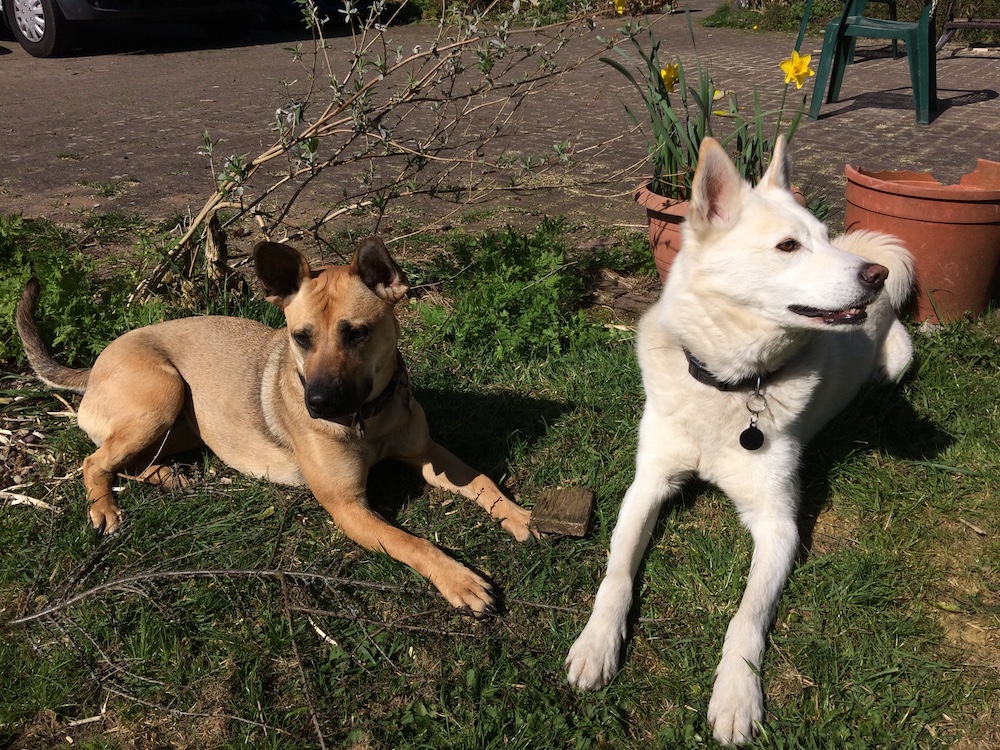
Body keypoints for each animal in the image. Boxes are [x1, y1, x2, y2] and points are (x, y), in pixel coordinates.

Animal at [15, 239, 536, 616]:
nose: (318, 404)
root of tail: (94, 366)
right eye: (300, 338)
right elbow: (415, 543)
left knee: (127, 459)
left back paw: (165, 476)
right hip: (161, 395)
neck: (368, 419)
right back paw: (104, 507)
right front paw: (460, 580)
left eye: (357, 333)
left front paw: (521, 516)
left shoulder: (428, 454)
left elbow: (484, 480)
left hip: (178, 421)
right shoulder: (349, 508)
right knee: (94, 460)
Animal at [564, 137, 916, 748]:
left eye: (824, 237)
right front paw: (596, 642)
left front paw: (735, 695)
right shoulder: (648, 484)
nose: (877, 275)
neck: (731, 386)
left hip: (897, 362)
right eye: (788, 246)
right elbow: (617, 572)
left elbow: (745, 619)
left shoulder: (778, 524)